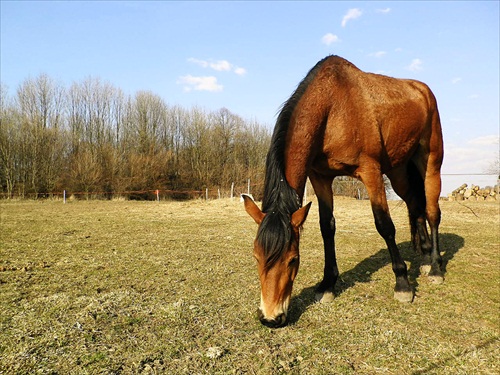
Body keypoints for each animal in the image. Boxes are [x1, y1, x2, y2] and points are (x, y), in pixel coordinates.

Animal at [244, 54, 444, 328]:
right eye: (255, 257)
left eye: (293, 259)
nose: (270, 317)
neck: (333, 107)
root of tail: (423, 90)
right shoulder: (320, 177)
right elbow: (327, 227)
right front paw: (327, 285)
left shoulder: (370, 172)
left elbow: (385, 225)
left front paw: (403, 284)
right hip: (399, 170)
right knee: (415, 205)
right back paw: (423, 260)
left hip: (431, 162)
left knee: (433, 212)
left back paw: (435, 267)